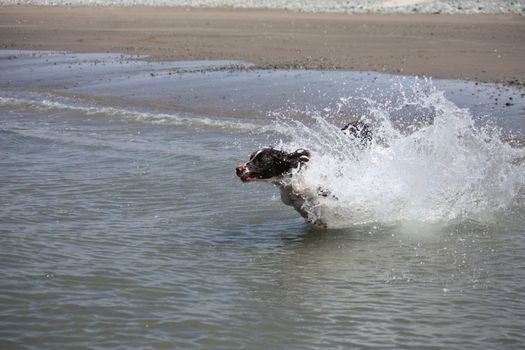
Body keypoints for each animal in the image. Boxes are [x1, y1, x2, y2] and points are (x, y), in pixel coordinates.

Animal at [235, 119, 370, 226]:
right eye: (251, 158)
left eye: (260, 161)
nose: (238, 169)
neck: (293, 179)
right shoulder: (293, 201)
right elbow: (304, 211)